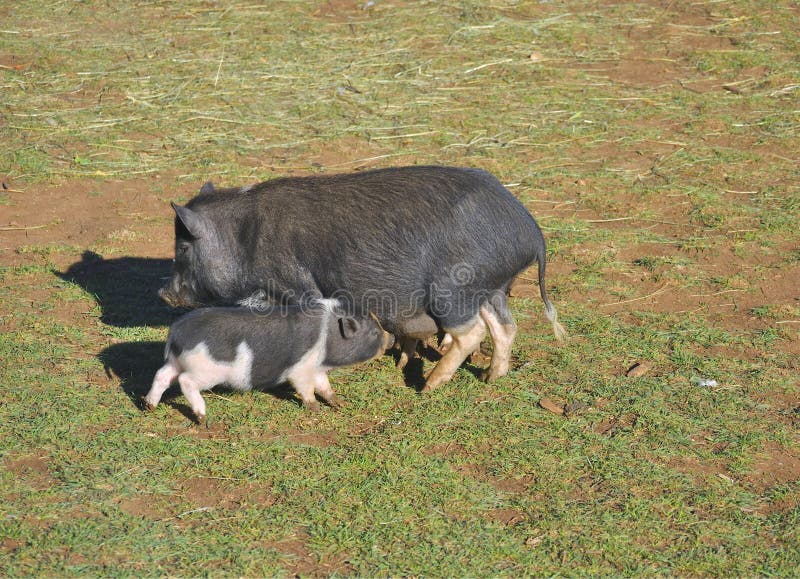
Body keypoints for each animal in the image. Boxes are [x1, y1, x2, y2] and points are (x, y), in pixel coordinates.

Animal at [142, 299, 392, 421]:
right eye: (373, 333)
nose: (390, 339)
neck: (327, 335)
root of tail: (176, 332)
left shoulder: (317, 369)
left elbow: (325, 386)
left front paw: (340, 403)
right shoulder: (301, 368)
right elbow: (306, 388)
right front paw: (315, 409)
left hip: (175, 362)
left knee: (161, 375)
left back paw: (149, 406)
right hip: (205, 370)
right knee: (185, 381)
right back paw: (202, 418)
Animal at [159, 165, 566, 391]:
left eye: (183, 248)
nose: (164, 292)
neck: (244, 238)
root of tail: (531, 232)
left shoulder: (297, 285)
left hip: (454, 289)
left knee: (473, 332)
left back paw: (428, 387)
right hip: (490, 288)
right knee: (505, 327)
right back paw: (489, 378)